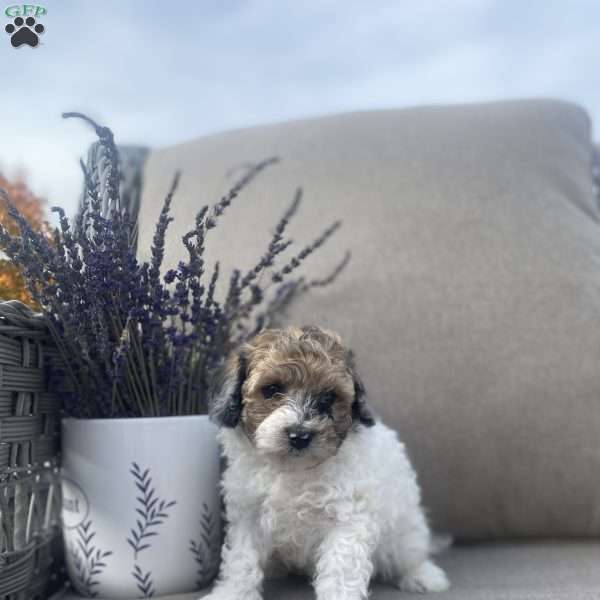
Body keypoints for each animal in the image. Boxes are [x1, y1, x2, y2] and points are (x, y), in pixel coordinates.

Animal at [205, 328, 446, 600]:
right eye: (271, 389)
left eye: (328, 397)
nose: (299, 436)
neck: (294, 469)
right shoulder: (247, 514)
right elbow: (241, 559)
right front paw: (232, 592)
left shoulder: (347, 518)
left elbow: (341, 566)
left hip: (404, 533)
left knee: (409, 555)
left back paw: (424, 576)